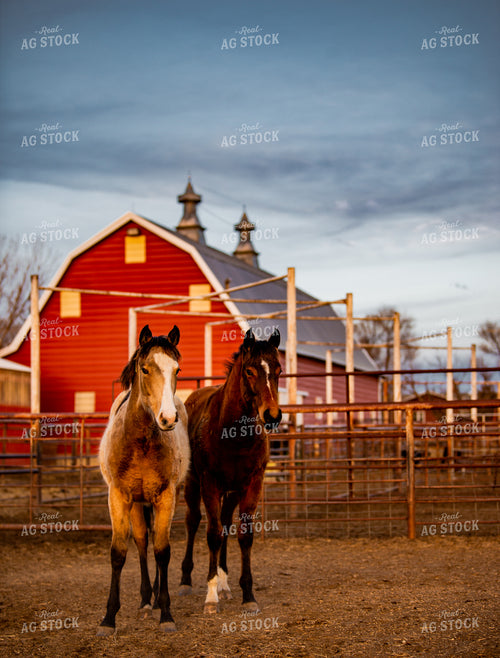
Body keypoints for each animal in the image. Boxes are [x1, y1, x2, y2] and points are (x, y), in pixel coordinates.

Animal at [97, 324, 190, 636]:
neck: (139, 442)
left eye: (177, 369)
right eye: (145, 369)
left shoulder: (166, 496)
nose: (168, 418)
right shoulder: (118, 496)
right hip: (137, 503)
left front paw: (167, 613)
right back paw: (145, 600)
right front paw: (108, 618)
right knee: (140, 541)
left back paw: (156, 600)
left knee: (154, 542)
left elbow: (162, 551)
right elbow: (119, 552)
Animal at [179, 328, 282, 614]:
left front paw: (248, 594)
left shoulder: (251, 484)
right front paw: (210, 597)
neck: (234, 434)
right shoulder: (210, 483)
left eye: (279, 370)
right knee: (193, 522)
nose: (272, 415)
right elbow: (212, 534)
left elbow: (244, 536)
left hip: (232, 491)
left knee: (225, 523)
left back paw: (224, 583)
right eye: (249, 371)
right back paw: (186, 580)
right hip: (193, 484)